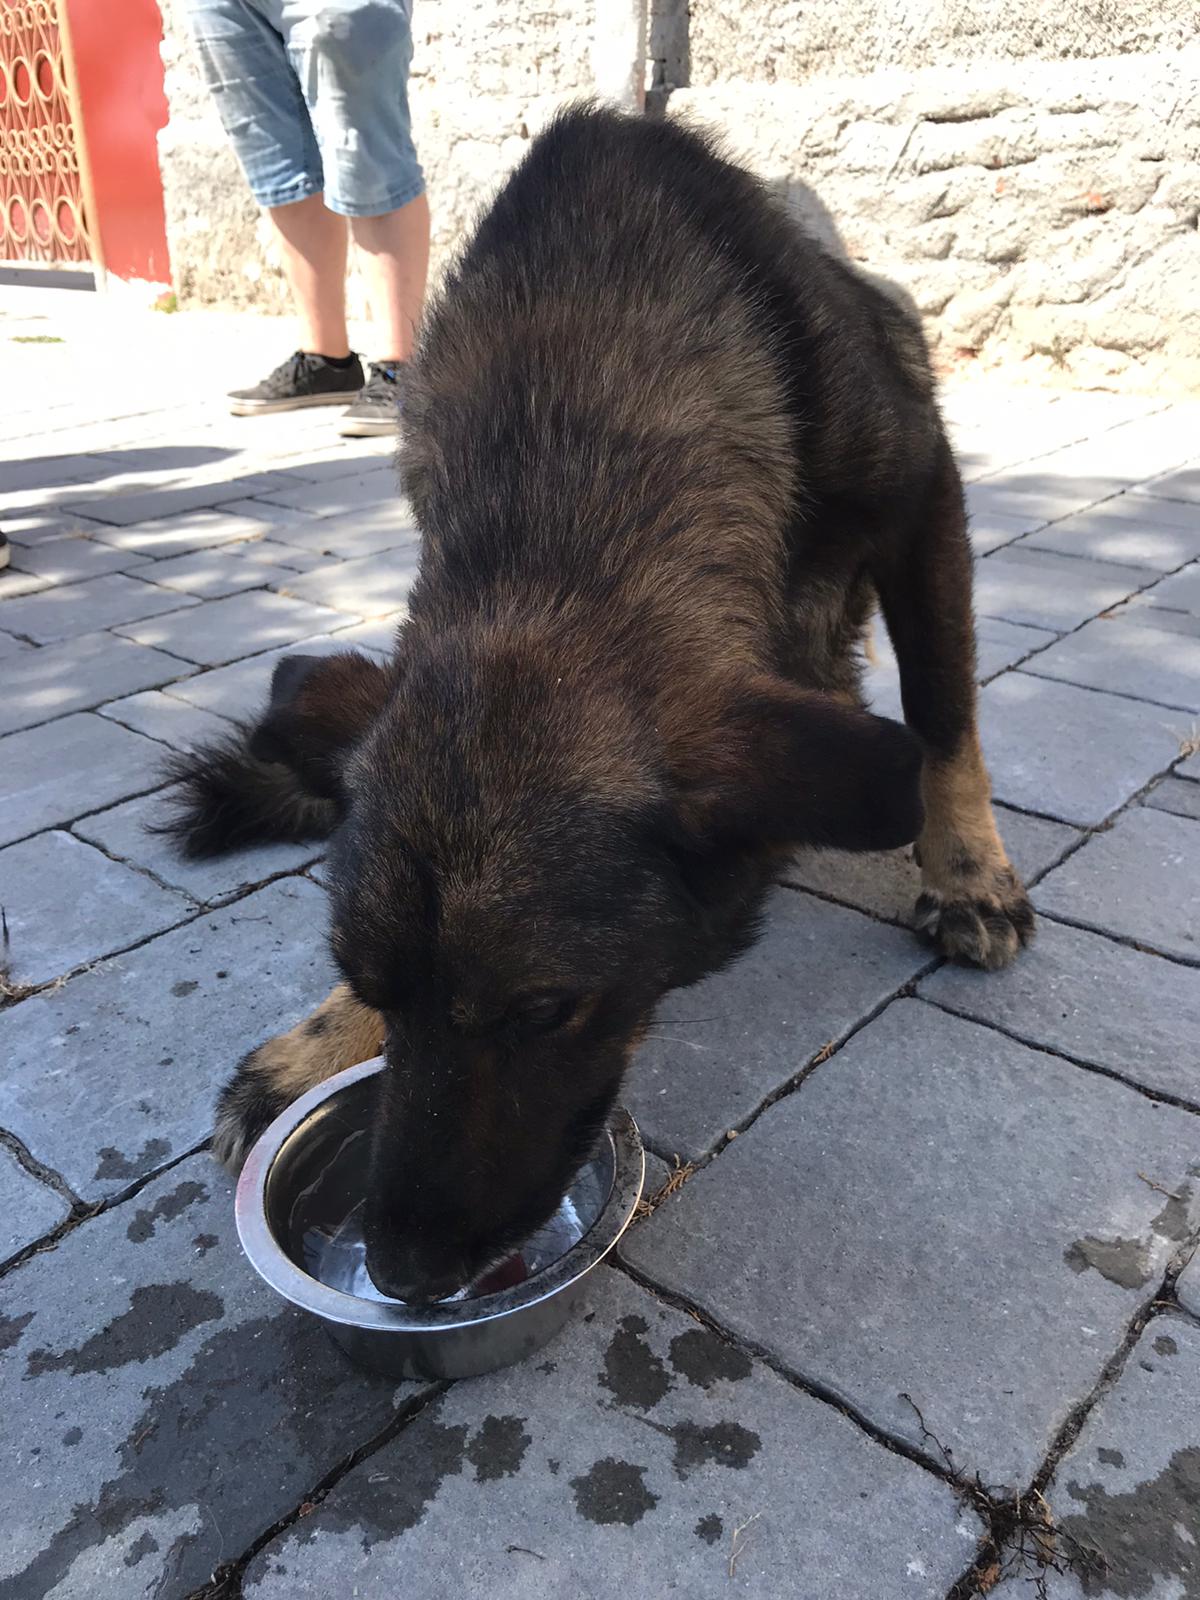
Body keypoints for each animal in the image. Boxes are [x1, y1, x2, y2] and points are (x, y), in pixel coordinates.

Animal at [164, 103, 1036, 1299]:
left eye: (542, 1011)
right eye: (370, 981)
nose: (402, 1269)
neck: (569, 457)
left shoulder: (925, 498)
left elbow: (945, 710)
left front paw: (969, 871)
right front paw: (330, 1036)